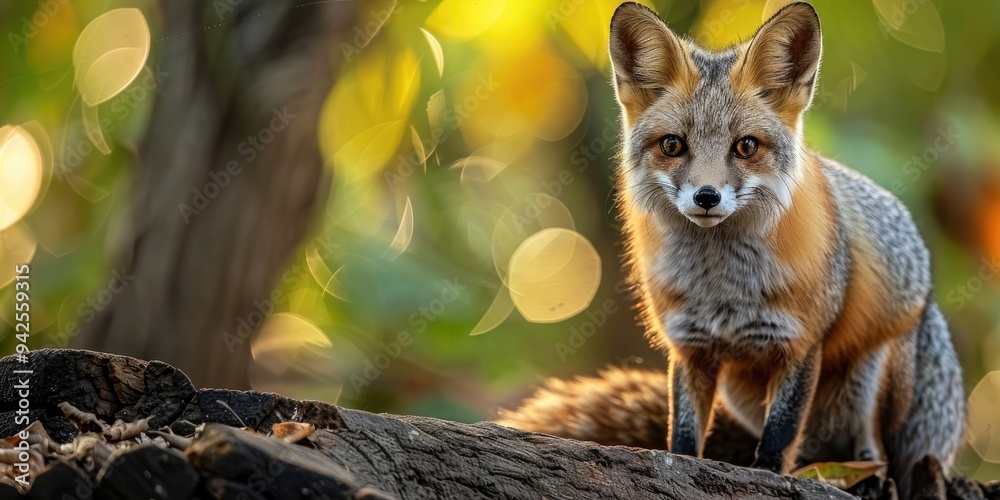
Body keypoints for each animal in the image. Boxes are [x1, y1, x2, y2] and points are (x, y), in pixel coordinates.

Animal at [497, 2, 965, 498]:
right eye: (672, 145)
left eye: (746, 146)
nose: (707, 197)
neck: (722, 288)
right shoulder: (690, 347)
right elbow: (682, 438)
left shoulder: (800, 344)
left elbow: (780, 437)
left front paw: (769, 477)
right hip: (742, 396)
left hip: (872, 373)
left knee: (876, 450)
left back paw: (869, 480)